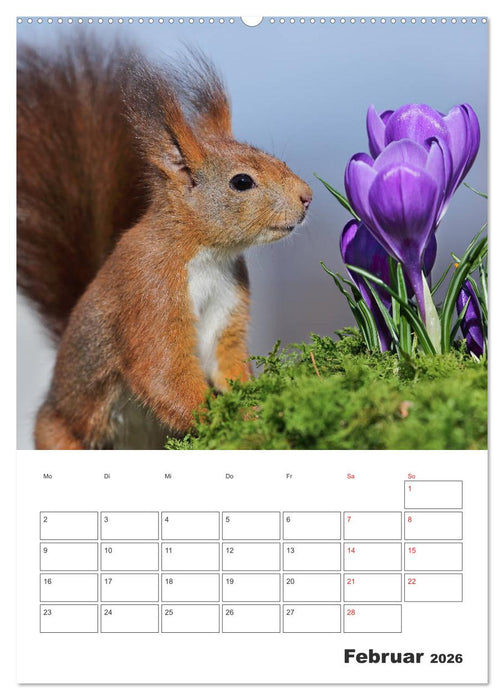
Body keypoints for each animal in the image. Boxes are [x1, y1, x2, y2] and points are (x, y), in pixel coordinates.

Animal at [17, 41, 312, 450]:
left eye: (277, 159)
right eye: (241, 182)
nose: (307, 197)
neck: (206, 254)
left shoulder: (228, 301)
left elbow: (226, 358)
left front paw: (252, 406)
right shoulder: (150, 291)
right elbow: (162, 371)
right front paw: (231, 422)